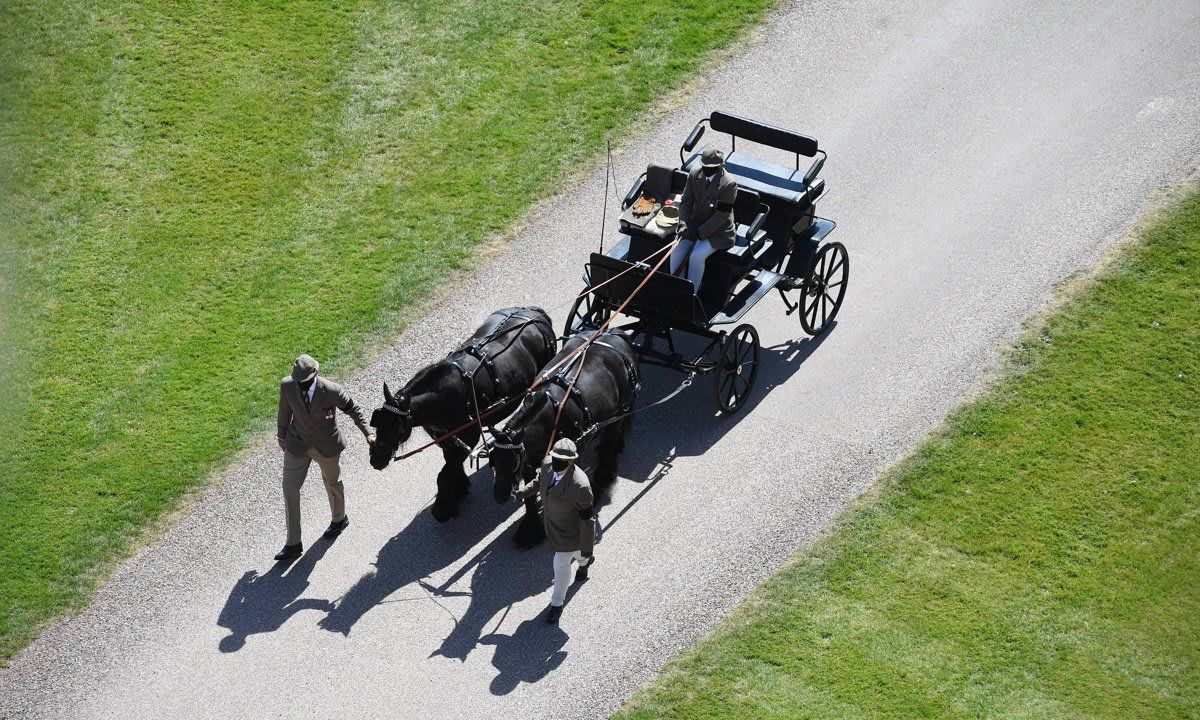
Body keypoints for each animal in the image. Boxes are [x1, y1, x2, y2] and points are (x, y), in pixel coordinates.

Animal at [369, 306, 556, 520]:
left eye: (397, 427)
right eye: (377, 421)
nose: (376, 459)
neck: (444, 397)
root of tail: (534, 312)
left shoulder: (469, 435)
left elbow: (444, 473)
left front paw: (443, 508)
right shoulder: (446, 437)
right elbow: (450, 463)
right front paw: (459, 487)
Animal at [484, 328, 643, 544]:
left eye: (513, 463)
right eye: (493, 460)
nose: (499, 496)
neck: (550, 417)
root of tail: (616, 333)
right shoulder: (530, 460)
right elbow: (530, 495)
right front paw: (530, 529)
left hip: (620, 408)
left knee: (611, 439)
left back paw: (604, 476)